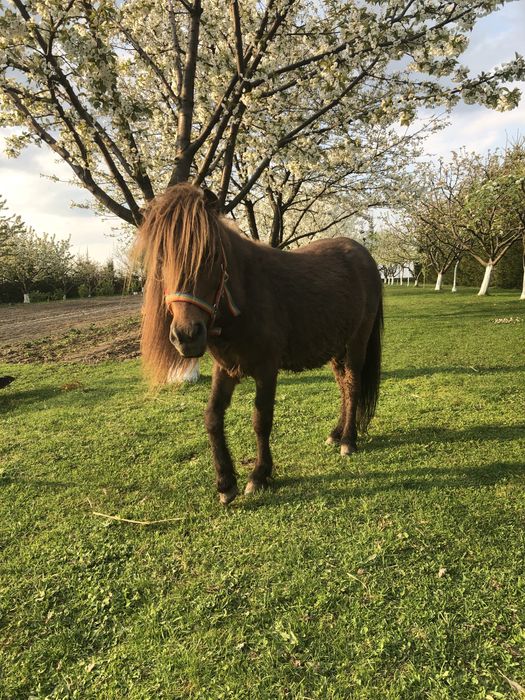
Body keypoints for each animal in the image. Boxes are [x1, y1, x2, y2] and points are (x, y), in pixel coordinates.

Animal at [134, 183, 380, 506]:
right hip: (336, 348)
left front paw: (259, 475)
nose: (186, 335)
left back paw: (348, 440)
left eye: (210, 255)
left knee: (352, 385)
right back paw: (337, 433)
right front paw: (225, 483)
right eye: (161, 258)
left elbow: (261, 419)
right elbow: (212, 417)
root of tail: (364, 256)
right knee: (343, 386)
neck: (244, 298)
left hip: (356, 343)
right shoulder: (225, 369)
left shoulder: (266, 369)